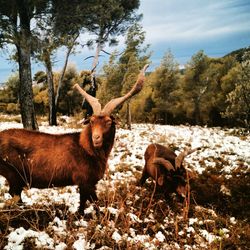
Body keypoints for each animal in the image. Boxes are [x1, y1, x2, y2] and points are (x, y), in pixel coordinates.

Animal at [0, 64, 148, 213]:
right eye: (92, 121)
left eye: (108, 122)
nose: (96, 138)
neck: (87, 149)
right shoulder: (84, 180)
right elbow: (90, 203)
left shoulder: (89, 182)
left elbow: (87, 202)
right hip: (13, 173)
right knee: (14, 193)